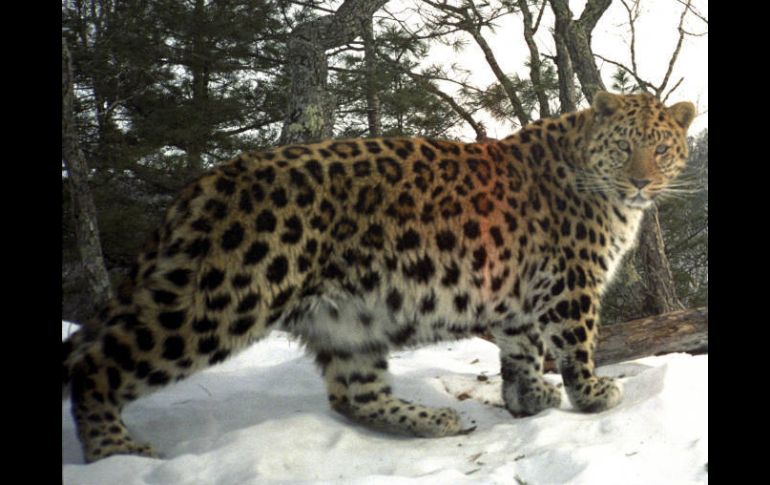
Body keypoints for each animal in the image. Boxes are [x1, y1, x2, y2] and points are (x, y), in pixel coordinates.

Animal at [61, 90, 696, 462]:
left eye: (661, 150)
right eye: (624, 148)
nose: (642, 182)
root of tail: (201, 185)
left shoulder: (518, 294)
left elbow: (521, 346)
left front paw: (527, 397)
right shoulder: (570, 282)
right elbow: (575, 341)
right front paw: (591, 394)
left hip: (349, 319)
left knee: (352, 394)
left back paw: (434, 420)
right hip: (227, 294)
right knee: (96, 361)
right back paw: (116, 452)